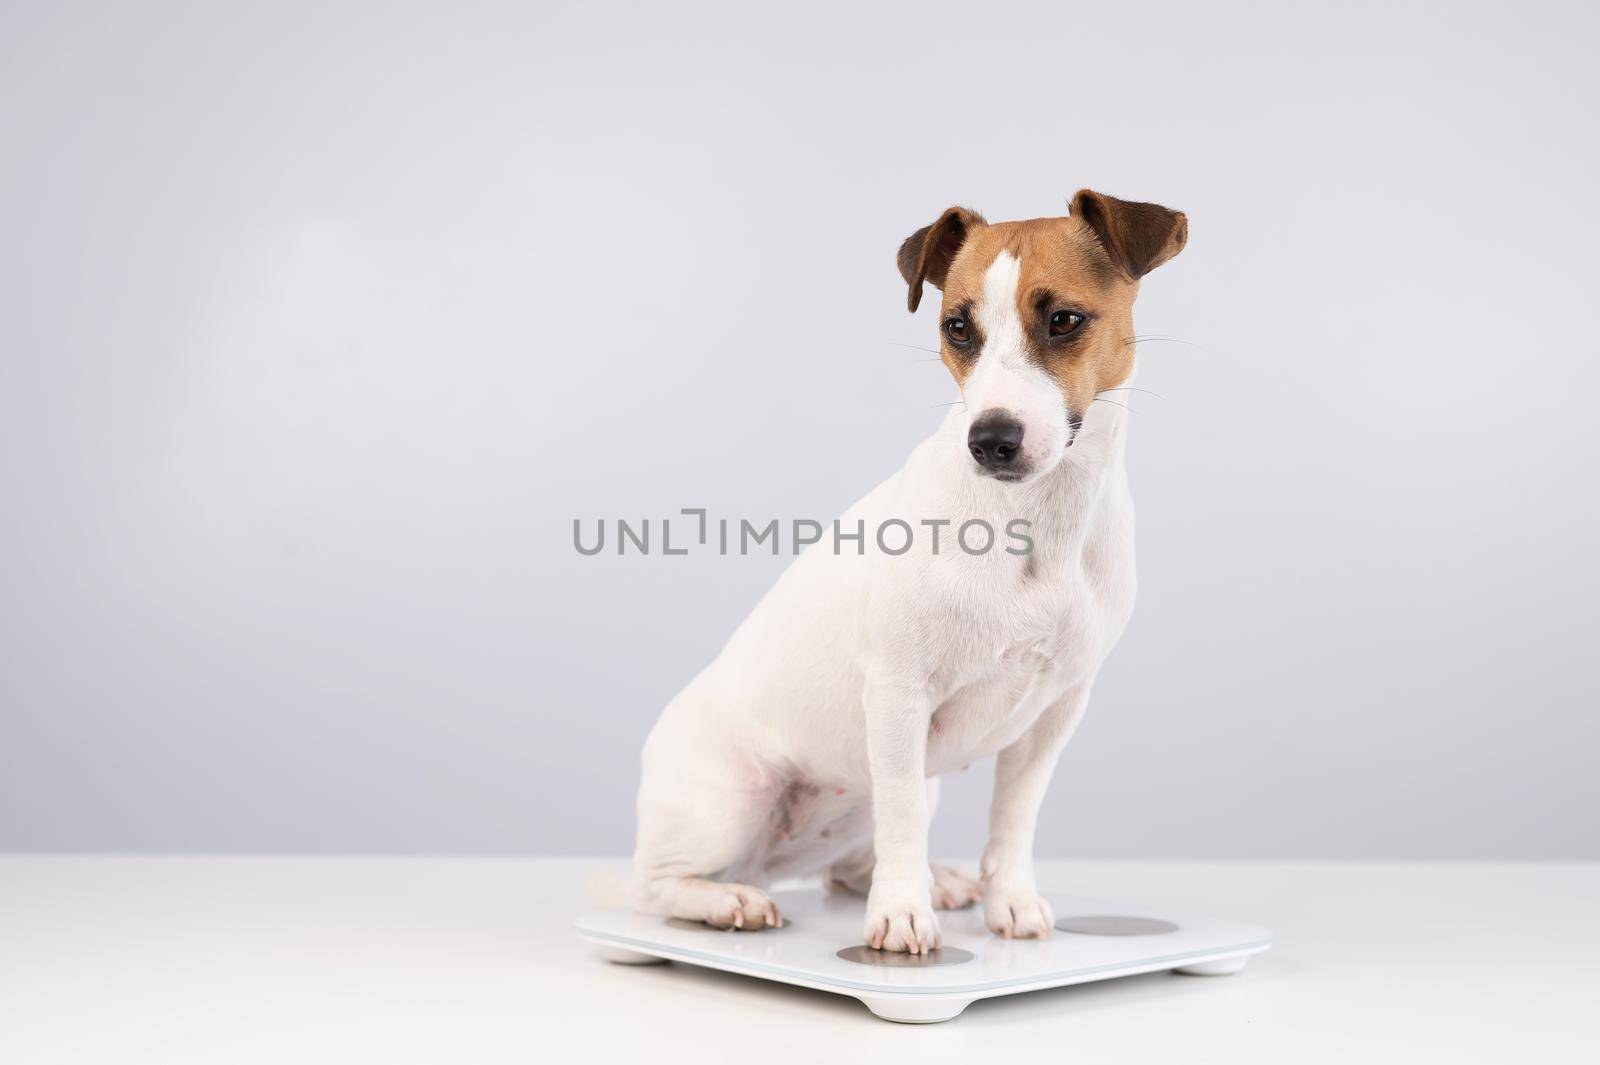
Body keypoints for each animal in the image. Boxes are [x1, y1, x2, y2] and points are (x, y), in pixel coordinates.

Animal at [630, 186, 1184, 946]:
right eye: (957, 328)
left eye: (1065, 320)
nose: (990, 438)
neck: (1035, 523)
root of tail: (770, 862)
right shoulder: (899, 696)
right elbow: (902, 820)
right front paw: (899, 913)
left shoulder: (1055, 710)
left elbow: (1014, 817)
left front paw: (1009, 899)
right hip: (728, 799)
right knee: (654, 886)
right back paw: (728, 900)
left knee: (846, 866)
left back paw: (934, 880)